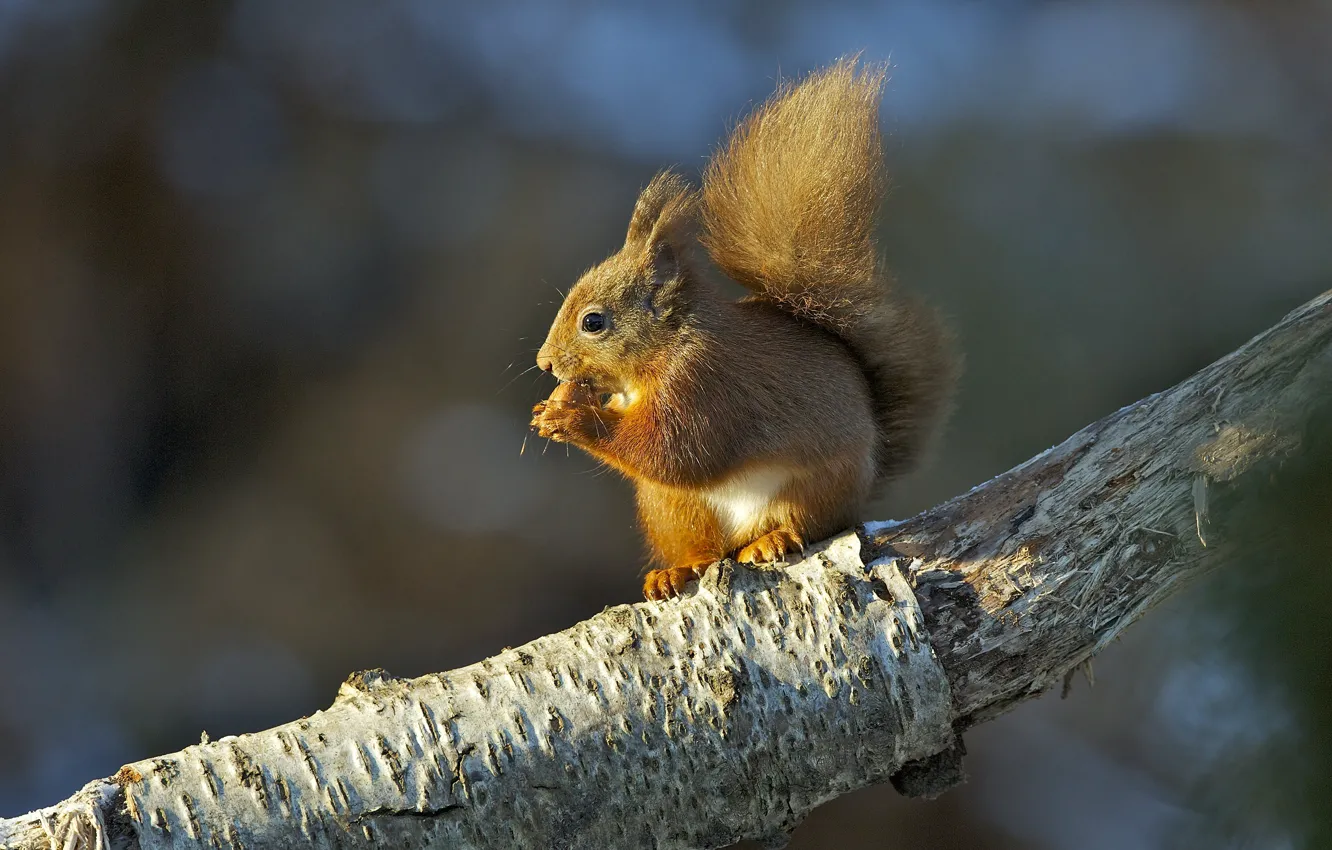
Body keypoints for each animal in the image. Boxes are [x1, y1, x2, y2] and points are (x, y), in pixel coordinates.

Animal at [531, 59, 957, 601]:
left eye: (593, 322)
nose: (545, 363)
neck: (665, 346)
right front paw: (557, 406)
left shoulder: (704, 384)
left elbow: (676, 451)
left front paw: (572, 418)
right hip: (673, 510)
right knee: (705, 549)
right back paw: (677, 570)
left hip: (814, 486)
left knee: (806, 523)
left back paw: (773, 540)